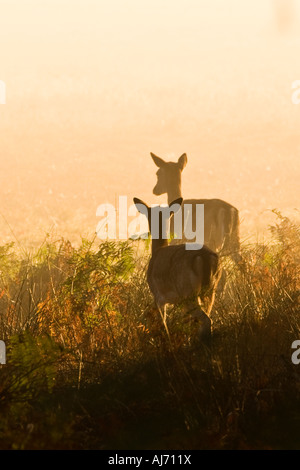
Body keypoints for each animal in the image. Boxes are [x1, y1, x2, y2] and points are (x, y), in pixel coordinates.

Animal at [133, 195, 220, 342]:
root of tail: (204, 257)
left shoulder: (158, 296)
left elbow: (163, 324)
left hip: (187, 292)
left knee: (206, 319)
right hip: (210, 290)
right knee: (204, 317)